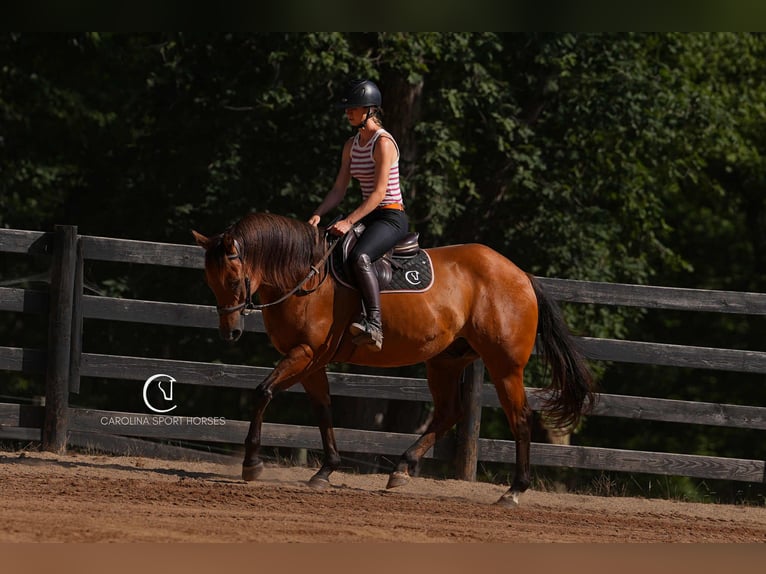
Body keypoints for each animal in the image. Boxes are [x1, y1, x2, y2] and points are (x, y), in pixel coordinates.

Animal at [192, 212, 595, 507]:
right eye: (209, 282)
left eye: (232, 279)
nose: (230, 332)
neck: (304, 275)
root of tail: (520, 275)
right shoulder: (311, 361)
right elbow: (323, 410)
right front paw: (325, 471)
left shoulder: (304, 354)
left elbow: (262, 392)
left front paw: (252, 464)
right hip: (445, 362)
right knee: (449, 412)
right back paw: (402, 467)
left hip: (505, 366)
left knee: (520, 418)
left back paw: (514, 490)